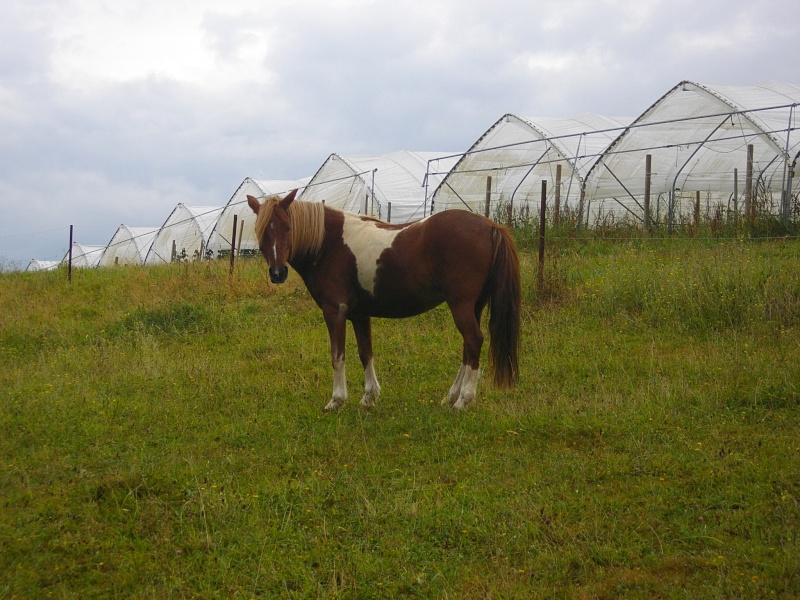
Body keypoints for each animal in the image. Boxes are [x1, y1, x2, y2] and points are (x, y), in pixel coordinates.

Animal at [247, 190, 520, 410]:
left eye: (287, 226)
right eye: (261, 230)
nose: (278, 273)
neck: (329, 243)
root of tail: (491, 226)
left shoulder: (334, 311)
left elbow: (337, 356)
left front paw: (336, 400)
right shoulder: (359, 314)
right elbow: (365, 352)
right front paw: (369, 397)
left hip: (461, 305)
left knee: (473, 340)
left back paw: (463, 400)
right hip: (474, 306)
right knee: (468, 346)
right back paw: (451, 396)